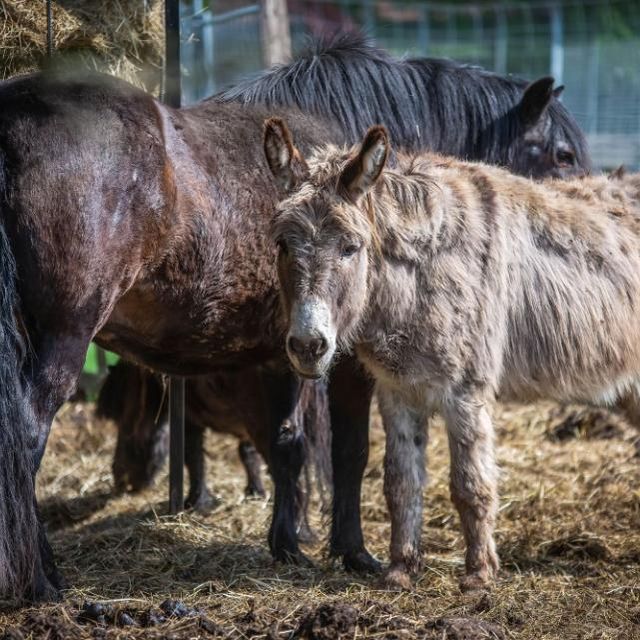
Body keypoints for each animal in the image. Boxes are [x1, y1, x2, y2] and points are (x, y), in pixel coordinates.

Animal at [266, 120, 640, 592]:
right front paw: (400, 571)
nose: (307, 346)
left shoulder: (466, 392)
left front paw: (479, 576)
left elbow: (470, 485)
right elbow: (401, 482)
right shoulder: (397, 390)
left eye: (351, 247)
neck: (418, 276)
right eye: (283, 245)